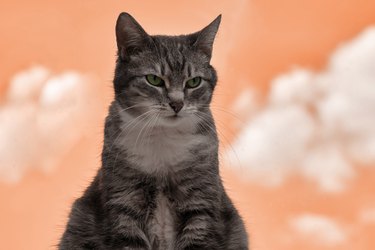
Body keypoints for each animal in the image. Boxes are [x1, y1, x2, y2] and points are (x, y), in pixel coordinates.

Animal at [58, 12, 250, 250]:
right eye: (154, 79)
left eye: (194, 82)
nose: (177, 104)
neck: (163, 141)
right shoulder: (124, 201)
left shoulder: (201, 202)